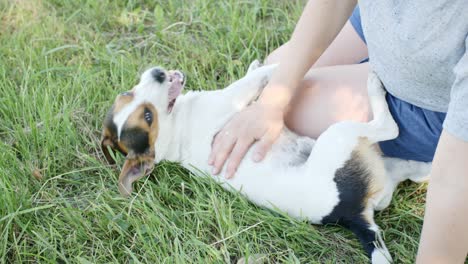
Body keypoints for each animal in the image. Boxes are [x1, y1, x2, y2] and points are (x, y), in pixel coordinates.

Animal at [100, 61, 430, 262]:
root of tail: (352, 214)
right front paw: (274, 67)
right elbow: (259, 79)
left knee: (416, 171)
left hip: (385, 167)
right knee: (390, 128)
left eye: (127, 93)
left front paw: (256, 65)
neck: (175, 131)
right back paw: (375, 86)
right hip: (340, 136)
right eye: (147, 117)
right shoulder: (234, 96)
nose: (157, 72)